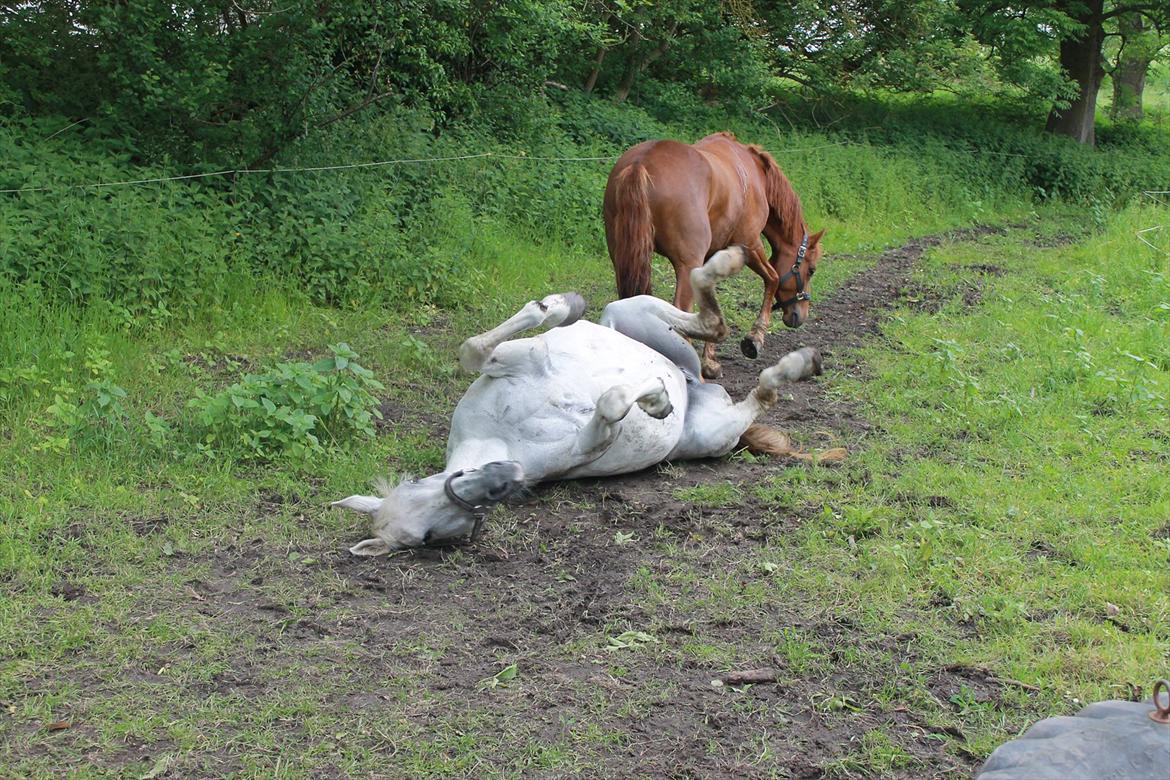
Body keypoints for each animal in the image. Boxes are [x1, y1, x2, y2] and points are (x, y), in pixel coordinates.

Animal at [334, 246, 837, 558]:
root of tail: (697, 384)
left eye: (422, 485)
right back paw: (797, 363)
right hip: (713, 434)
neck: (500, 437)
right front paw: (656, 400)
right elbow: (613, 403)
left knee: (710, 315)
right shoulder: (588, 442)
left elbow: (477, 347)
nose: (504, 477)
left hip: (630, 312)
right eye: (438, 535)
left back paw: (729, 265)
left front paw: (559, 305)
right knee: (755, 381)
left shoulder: (519, 358)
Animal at [603, 132, 823, 378]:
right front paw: (754, 339)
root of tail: (641, 163)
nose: (800, 315)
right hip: (687, 265)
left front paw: (710, 361)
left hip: (623, 260)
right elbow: (773, 278)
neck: (754, 174)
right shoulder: (749, 244)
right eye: (811, 270)